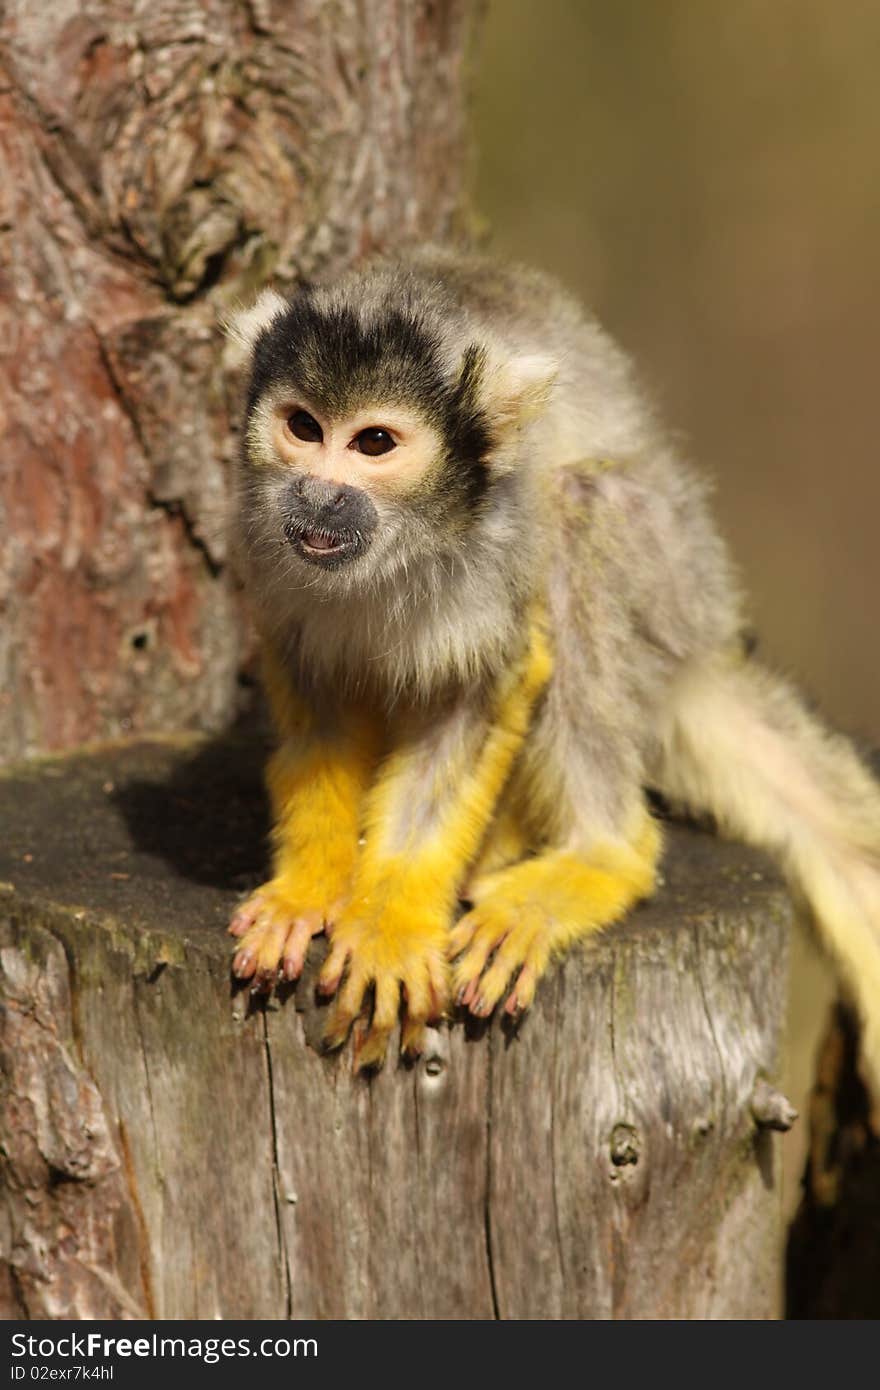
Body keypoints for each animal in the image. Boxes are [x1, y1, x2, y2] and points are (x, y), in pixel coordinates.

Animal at [225, 244, 878, 1078]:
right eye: (303, 427)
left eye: (373, 444)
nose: (319, 494)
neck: (401, 548)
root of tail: (707, 639)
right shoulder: (263, 548)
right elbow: (320, 704)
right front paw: (310, 887)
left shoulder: (495, 558)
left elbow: (477, 699)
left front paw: (390, 924)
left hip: (672, 577)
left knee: (579, 509)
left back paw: (601, 856)